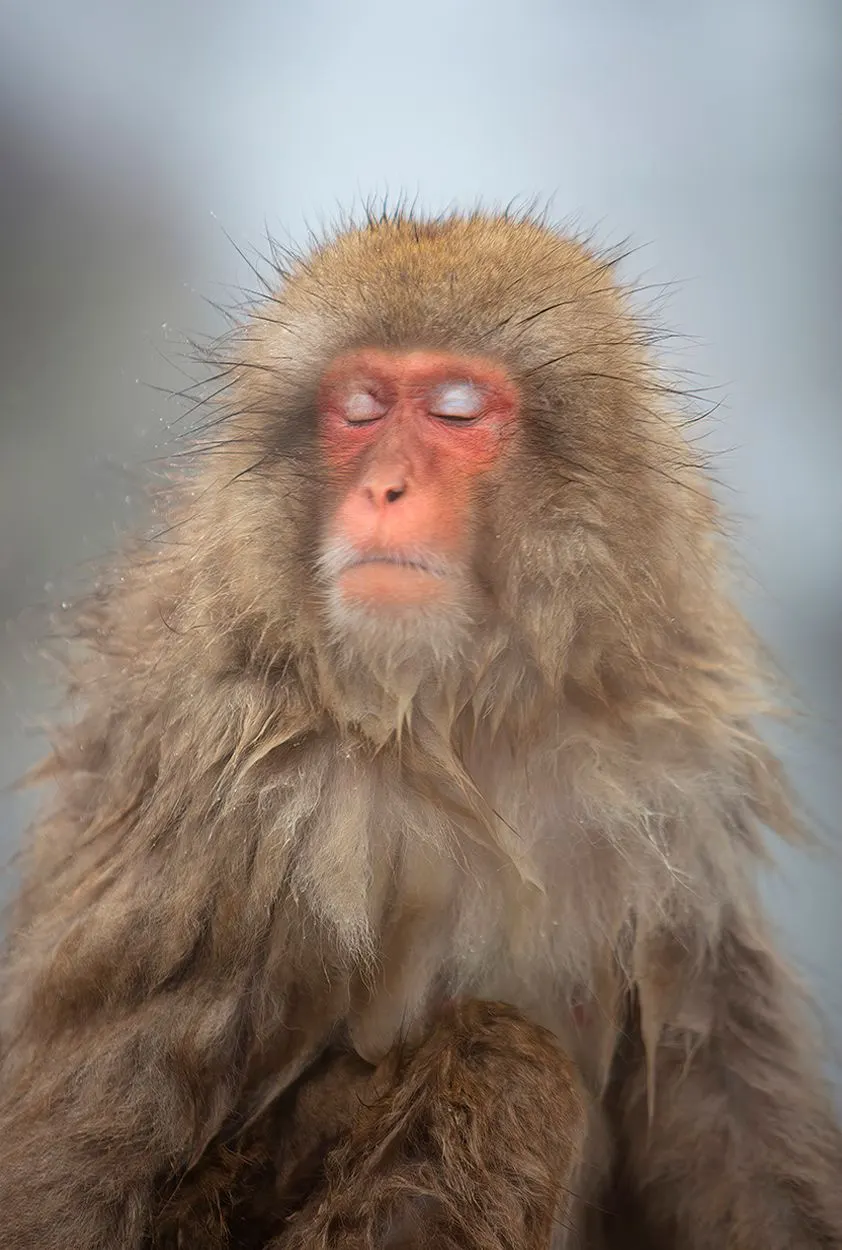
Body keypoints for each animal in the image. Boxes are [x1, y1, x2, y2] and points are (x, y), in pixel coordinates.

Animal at [0, 206, 840, 1250]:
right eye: (361, 410)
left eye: (454, 411)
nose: (385, 488)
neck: (459, 716)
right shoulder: (231, 790)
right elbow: (79, 1166)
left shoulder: (674, 780)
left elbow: (719, 1097)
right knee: (506, 1063)